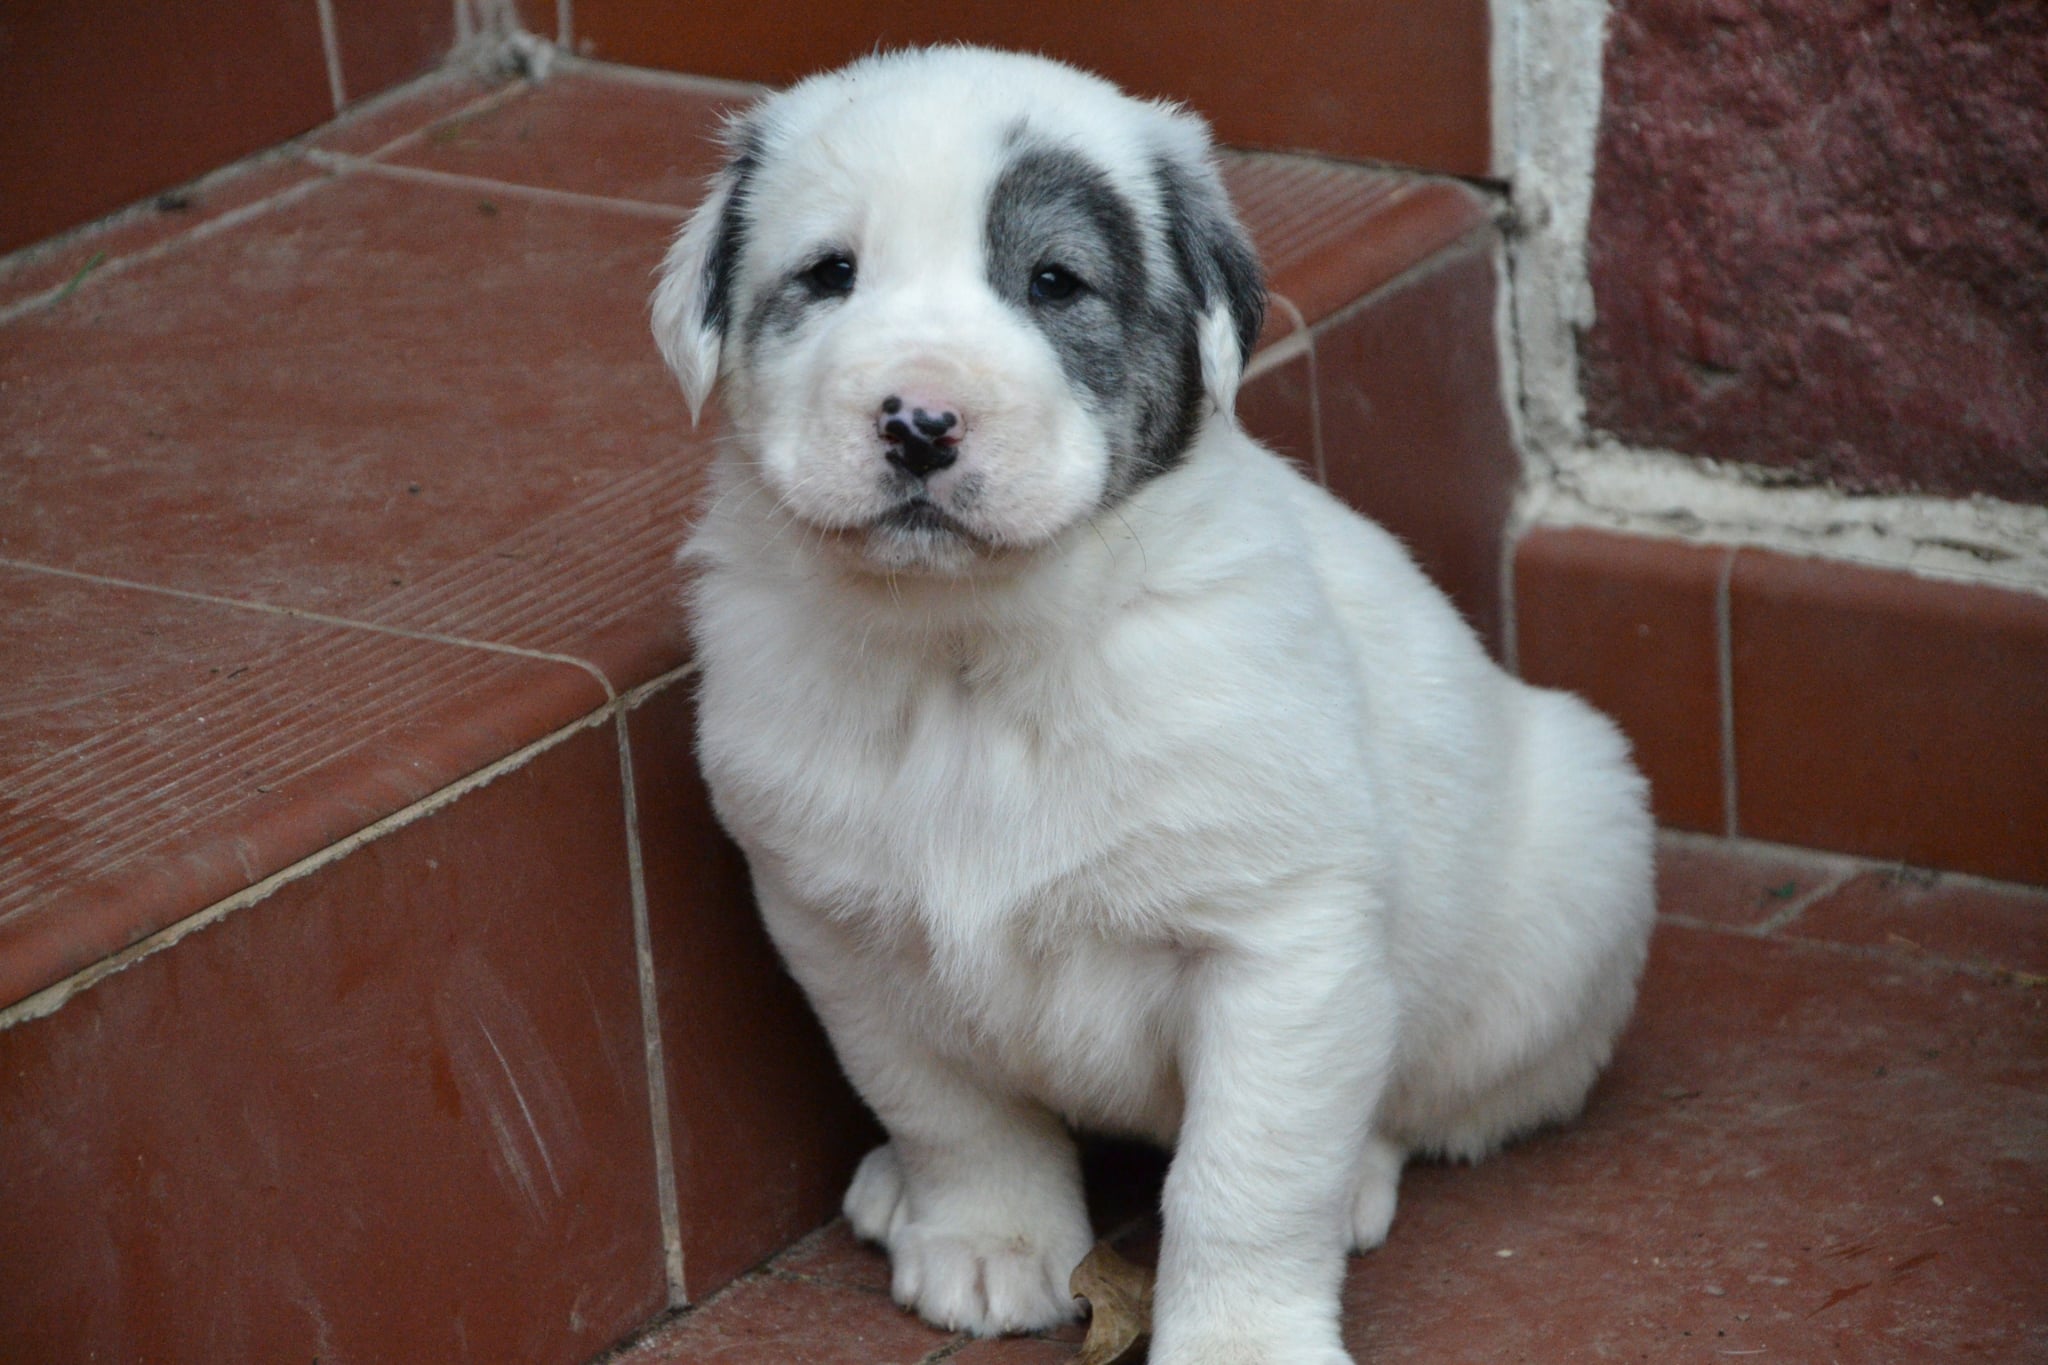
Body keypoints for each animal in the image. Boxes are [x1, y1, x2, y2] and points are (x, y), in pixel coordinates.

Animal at [653, 46, 1654, 1364]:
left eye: (1052, 281)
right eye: (829, 274)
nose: (918, 421)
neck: (969, 654)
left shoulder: (1280, 941)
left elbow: (1247, 1171)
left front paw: (1241, 1342)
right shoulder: (839, 932)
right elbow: (947, 1110)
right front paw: (985, 1242)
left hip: (1568, 884)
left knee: (1430, 1103)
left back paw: (1360, 1179)